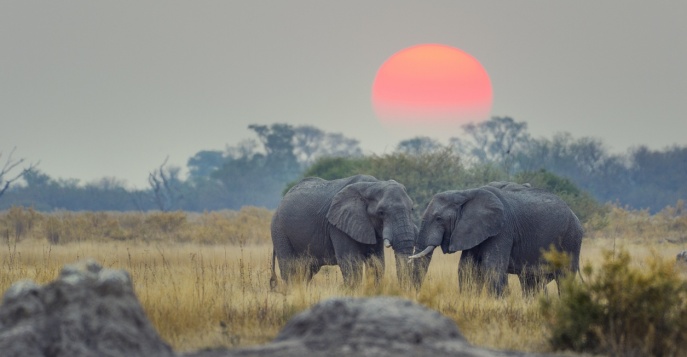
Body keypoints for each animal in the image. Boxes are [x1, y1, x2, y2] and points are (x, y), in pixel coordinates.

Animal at [272, 174, 416, 288]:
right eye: (381, 212)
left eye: (412, 209)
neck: (373, 185)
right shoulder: (337, 226)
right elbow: (351, 263)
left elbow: (377, 263)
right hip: (279, 230)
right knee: (290, 270)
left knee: (306, 271)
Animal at [412, 181, 584, 294]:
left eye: (438, 218)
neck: (465, 193)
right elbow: (467, 267)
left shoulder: (503, 229)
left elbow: (492, 266)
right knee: (531, 282)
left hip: (571, 239)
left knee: (564, 278)